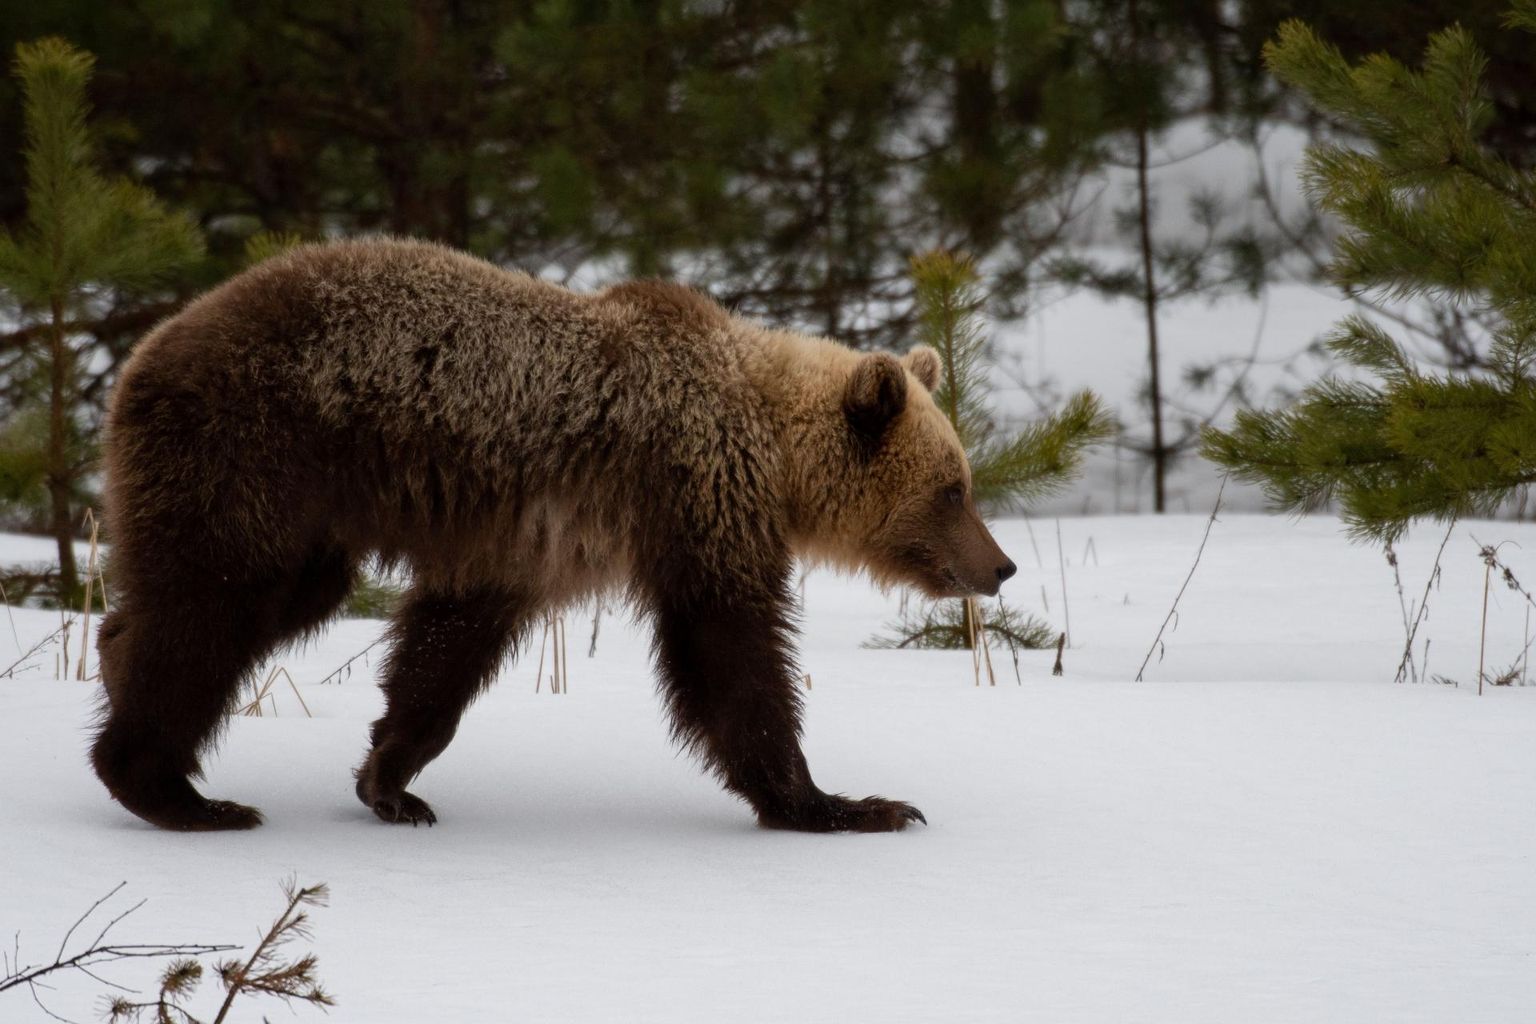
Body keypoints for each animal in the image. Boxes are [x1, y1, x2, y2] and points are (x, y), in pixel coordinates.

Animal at [89, 237, 1013, 835]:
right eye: (954, 489)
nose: (1000, 566)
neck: (769, 442)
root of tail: (140, 356)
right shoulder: (689, 497)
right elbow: (729, 656)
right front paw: (850, 804)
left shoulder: (517, 540)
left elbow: (444, 648)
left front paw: (392, 780)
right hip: (258, 449)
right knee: (213, 605)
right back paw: (177, 791)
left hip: (297, 504)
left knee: (240, 597)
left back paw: (114, 657)